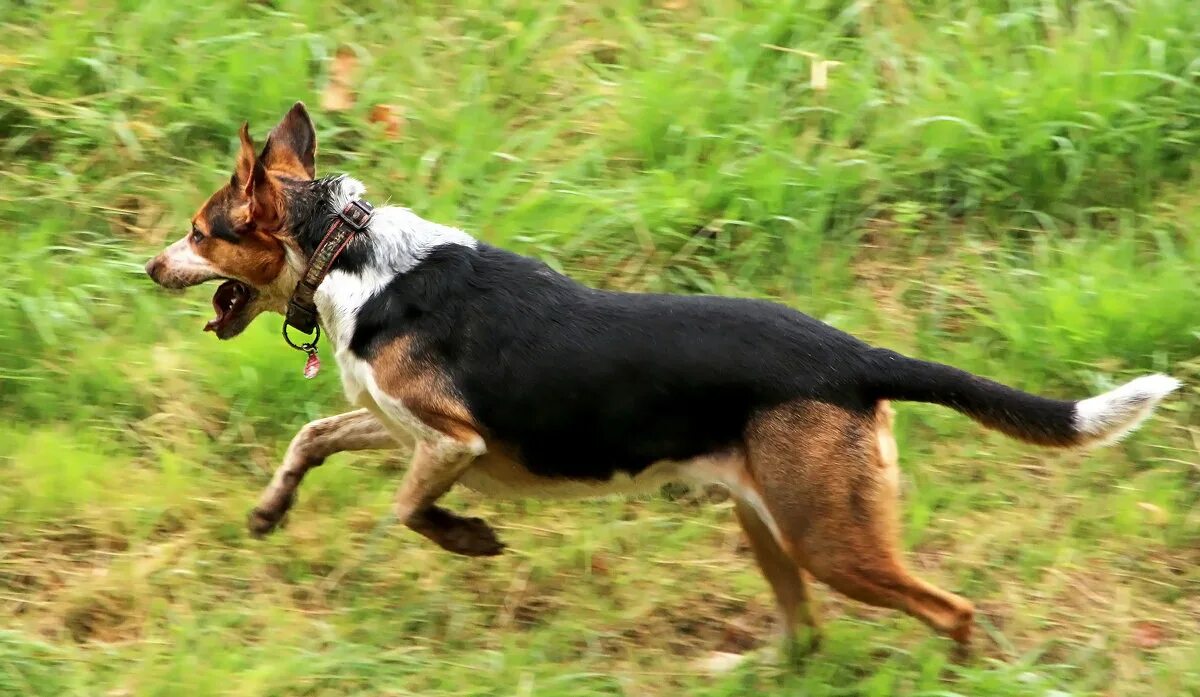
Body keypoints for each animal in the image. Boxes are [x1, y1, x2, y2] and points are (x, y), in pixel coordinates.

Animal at [145, 101, 1176, 652]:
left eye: (200, 231)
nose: (149, 267)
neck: (345, 249)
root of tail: (853, 355)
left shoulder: (450, 439)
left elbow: (405, 508)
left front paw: (468, 538)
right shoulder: (399, 425)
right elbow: (310, 435)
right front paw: (271, 511)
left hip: (827, 539)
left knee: (950, 608)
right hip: (771, 523)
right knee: (806, 635)